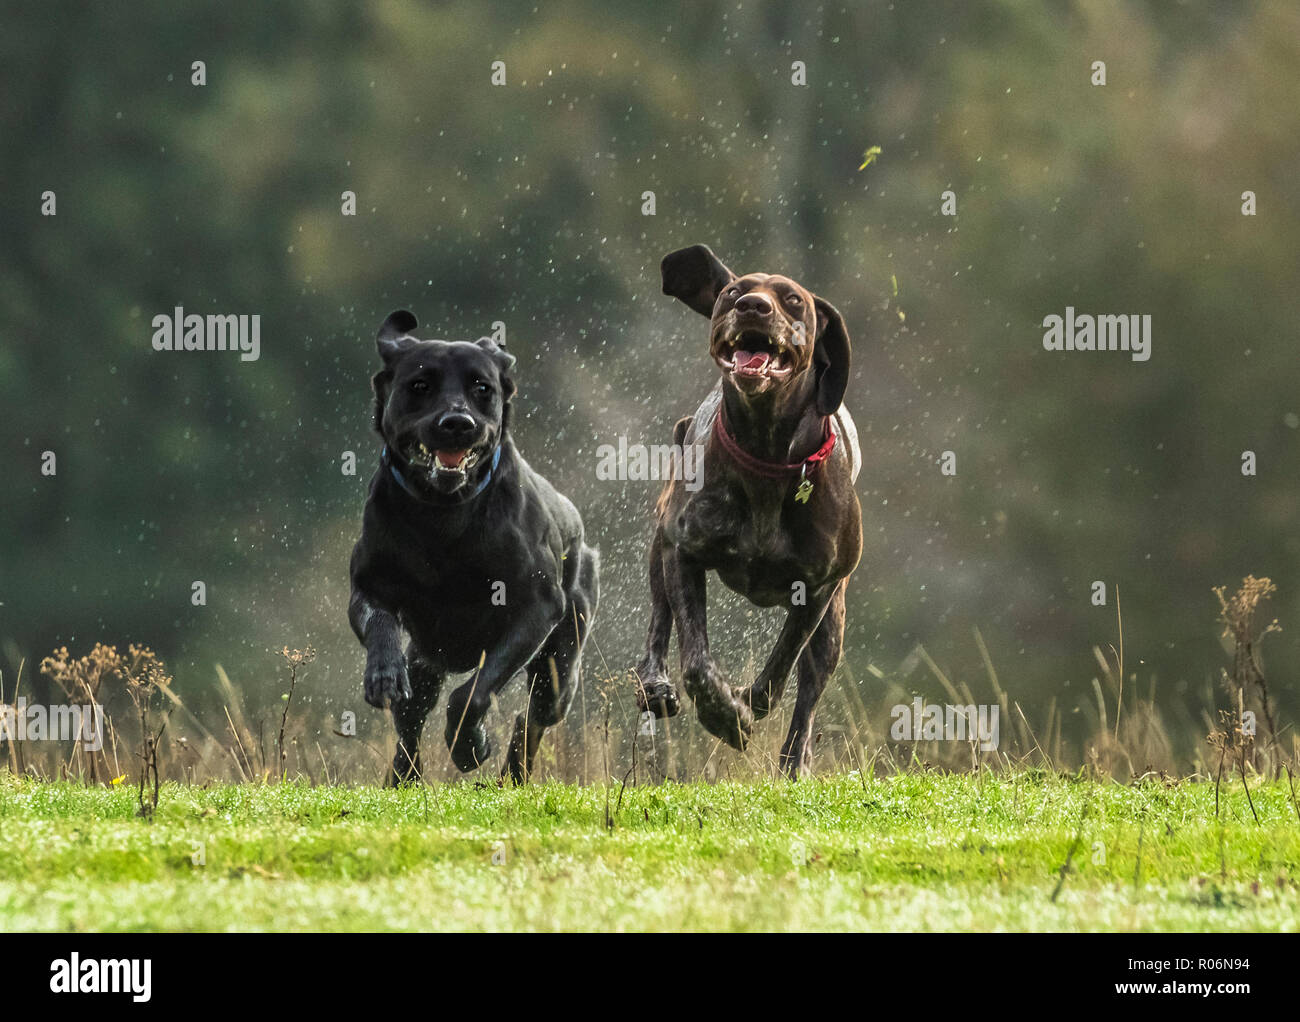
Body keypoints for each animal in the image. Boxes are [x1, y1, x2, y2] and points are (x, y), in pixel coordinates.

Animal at [353, 308, 600, 780]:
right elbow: (380, 625)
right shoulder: (369, 586)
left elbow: (473, 695)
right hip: (427, 659)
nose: (457, 423)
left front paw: (470, 745)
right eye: (420, 385)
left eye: (482, 388)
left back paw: (510, 776)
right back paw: (403, 776)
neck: (444, 516)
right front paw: (383, 673)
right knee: (412, 718)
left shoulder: (537, 609)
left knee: (532, 718)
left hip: (561, 664)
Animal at [631, 243, 863, 774]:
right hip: (660, 545)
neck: (768, 456)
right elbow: (697, 661)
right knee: (658, 622)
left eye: (794, 300)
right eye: (733, 292)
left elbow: (780, 668)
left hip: (834, 623)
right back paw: (654, 684)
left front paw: (747, 704)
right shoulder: (683, 552)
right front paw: (725, 716)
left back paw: (795, 762)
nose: (752, 306)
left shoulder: (818, 590)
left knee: (809, 688)